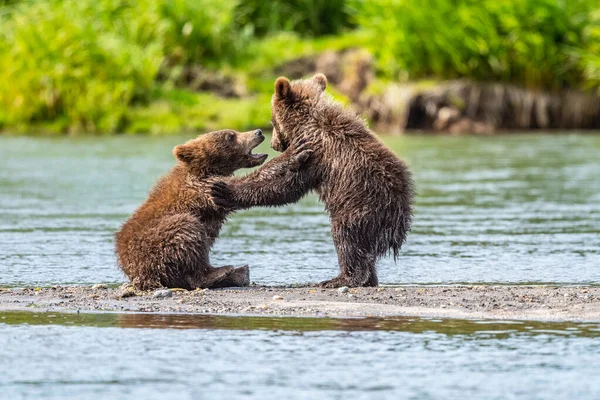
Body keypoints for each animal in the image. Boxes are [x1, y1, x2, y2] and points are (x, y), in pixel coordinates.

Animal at [115, 130, 312, 290]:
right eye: (231, 136)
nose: (258, 132)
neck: (206, 169)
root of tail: (136, 274)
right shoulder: (201, 188)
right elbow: (248, 182)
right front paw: (294, 151)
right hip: (157, 244)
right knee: (187, 232)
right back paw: (223, 271)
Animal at [213, 74, 414, 288]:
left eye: (272, 120)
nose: (274, 144)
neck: (306, 124)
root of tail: (400, 222)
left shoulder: (316, 154)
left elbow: (284, 184)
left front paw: (224, 189)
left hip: (361, 204)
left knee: (347, 237)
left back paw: (340, 278)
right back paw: (368, 279)